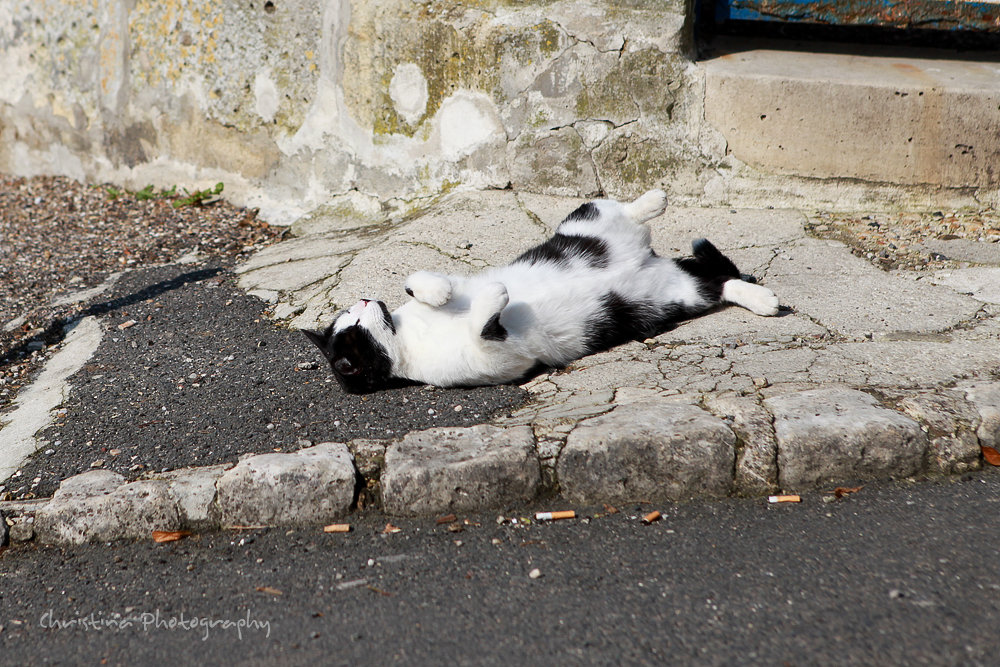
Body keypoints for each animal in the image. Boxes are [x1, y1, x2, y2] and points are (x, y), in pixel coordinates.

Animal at [304, 188, 780, 394]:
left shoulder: (451, 283)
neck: (407, 334)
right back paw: (764, 301)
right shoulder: (497, 361)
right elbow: (482, 325)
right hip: (675, 296)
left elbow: (418, 278)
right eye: (351, 333)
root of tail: (650, 259)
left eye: (350, 315)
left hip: (586, 225)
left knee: (612, 209)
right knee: (717, 281)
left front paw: (438, 292)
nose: (366, 300)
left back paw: (653, 199)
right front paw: (496, 296)